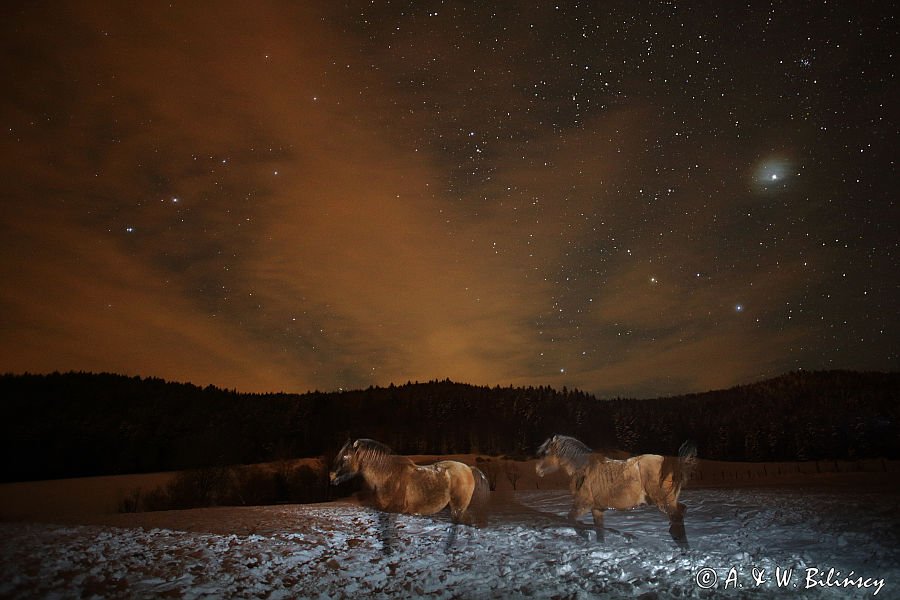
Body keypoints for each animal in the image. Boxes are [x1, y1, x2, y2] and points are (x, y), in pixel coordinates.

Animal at [328, 438, 488, 552]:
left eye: (346, 457)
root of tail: (469, 468)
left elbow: (388, 533)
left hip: (457, 508)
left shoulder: (392, 511)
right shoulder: (383, 512)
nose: (331, 476)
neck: (387, 476)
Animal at [536, 434, 696, 548]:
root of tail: (674, 464)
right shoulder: (597, 509)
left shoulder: (583, 505)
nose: (538, 470)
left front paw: (585, 535)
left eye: (546, 452)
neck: (585, 468)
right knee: (681, 513)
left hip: (664, 502)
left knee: (677, 518)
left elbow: (571, 519)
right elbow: (599, 532)